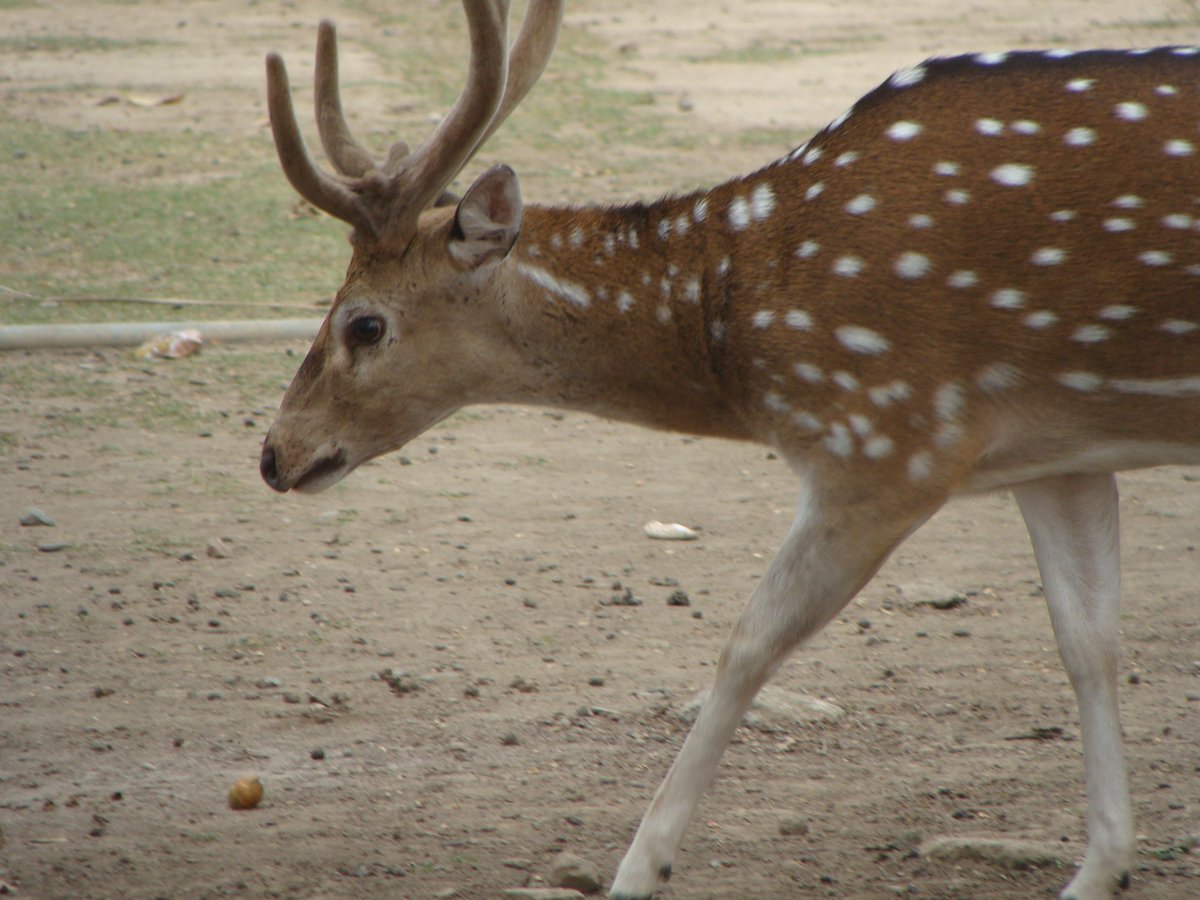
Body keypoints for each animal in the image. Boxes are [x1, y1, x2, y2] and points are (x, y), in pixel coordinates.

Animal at [260, 3, 1200, 897]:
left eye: (365, 324)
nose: (275, 453)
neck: (744, 322)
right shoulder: (1057, 454)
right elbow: (1089, 643)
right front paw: (1101, 869)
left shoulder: (894, 438)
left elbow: (747, 644)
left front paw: (639, 869)